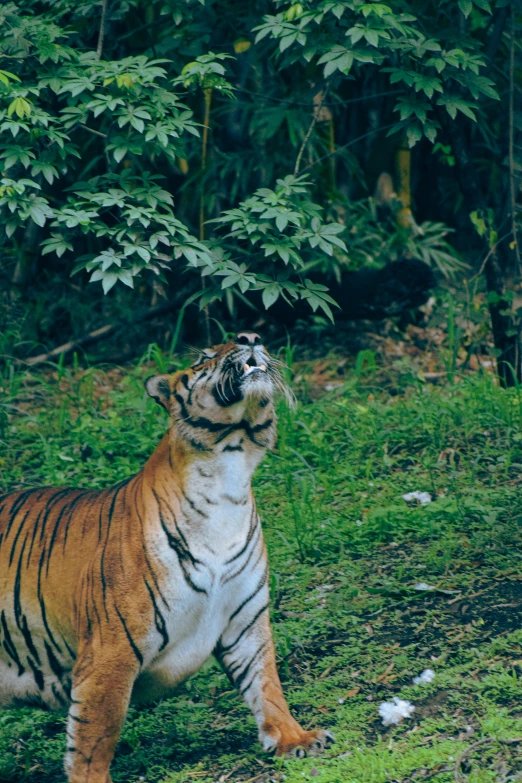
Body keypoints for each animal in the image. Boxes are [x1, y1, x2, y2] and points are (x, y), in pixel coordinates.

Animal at [0, 334, 332, 783]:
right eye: (205, 357)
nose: (250, 338)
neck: (229, 468)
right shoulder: (110, 649)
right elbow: (95, 734)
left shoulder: (245, 619)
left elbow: (266, 684)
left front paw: (295, 738)